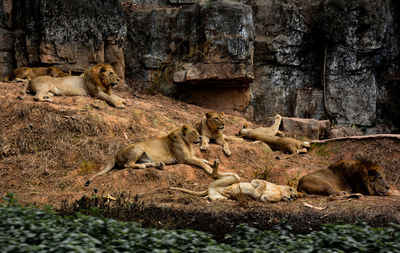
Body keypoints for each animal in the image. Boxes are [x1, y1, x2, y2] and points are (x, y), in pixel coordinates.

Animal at [85, 124, 216, 186]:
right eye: (194, 132)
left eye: (198, 132)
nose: (201, 137)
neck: (188, 143)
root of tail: (115, 153)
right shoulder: (184, 159)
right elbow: (200, 162)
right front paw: (210, 170)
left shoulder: (191, 156)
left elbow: (202, 159)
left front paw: (212, 163)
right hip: (139, 148)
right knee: (128, 164)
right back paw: (145, 166)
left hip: (144, 156)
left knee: (144, 163)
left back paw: (159, 165)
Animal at [170, 160, 302, 204]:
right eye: (291, 190)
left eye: (295, 196)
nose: (291, 197)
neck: (279, 190)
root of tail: (209, 189)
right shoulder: (259, 181)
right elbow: (260, 183)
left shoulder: (267, 198)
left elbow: (263, 197)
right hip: (235, 178)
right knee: (222, 176)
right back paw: (215, 165)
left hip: (218, 195)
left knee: (213, 197)